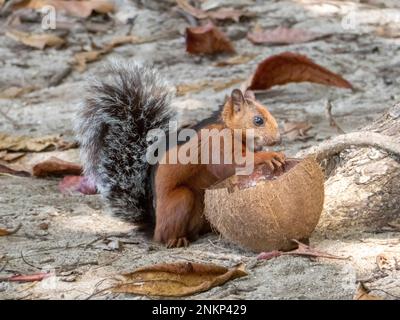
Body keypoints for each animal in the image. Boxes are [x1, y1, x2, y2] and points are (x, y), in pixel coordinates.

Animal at [76, 62, 284, 248]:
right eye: (258, 120)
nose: (278, 139)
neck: (226, 126)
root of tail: (154, 225)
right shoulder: (216, 141)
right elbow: (228, 163)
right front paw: (268, 157)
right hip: (180, 200)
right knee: (167, 233)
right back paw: (175, 240)